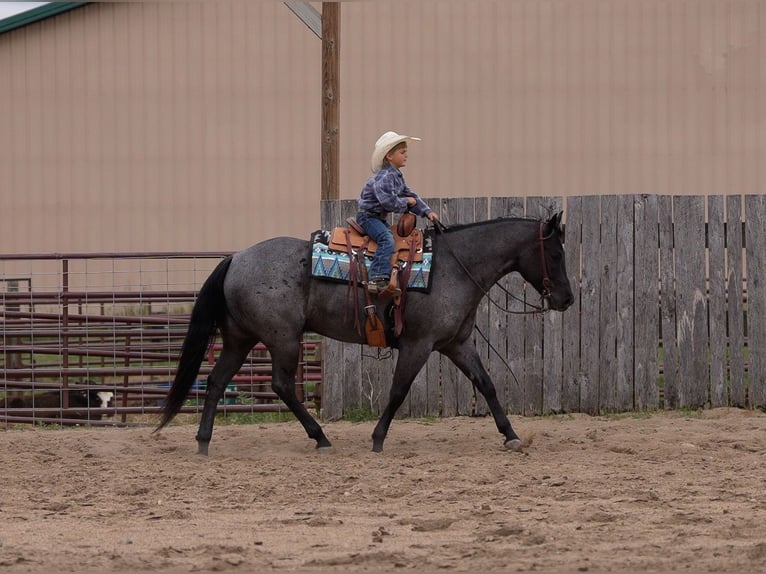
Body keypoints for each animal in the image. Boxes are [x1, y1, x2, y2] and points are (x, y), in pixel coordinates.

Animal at [156, 212, 574, 454]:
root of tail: (236, 258)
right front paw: (377, 439)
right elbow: (398, 390)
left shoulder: (456, 344)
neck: (454, 267)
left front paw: (511, 435)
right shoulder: (419, 344)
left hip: (241, 338)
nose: (567, 298)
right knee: (282, 385)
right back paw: (320, 437)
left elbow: (486, 384)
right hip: (283, 339)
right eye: (555, 254)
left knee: (215, 381)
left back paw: (204, 442)